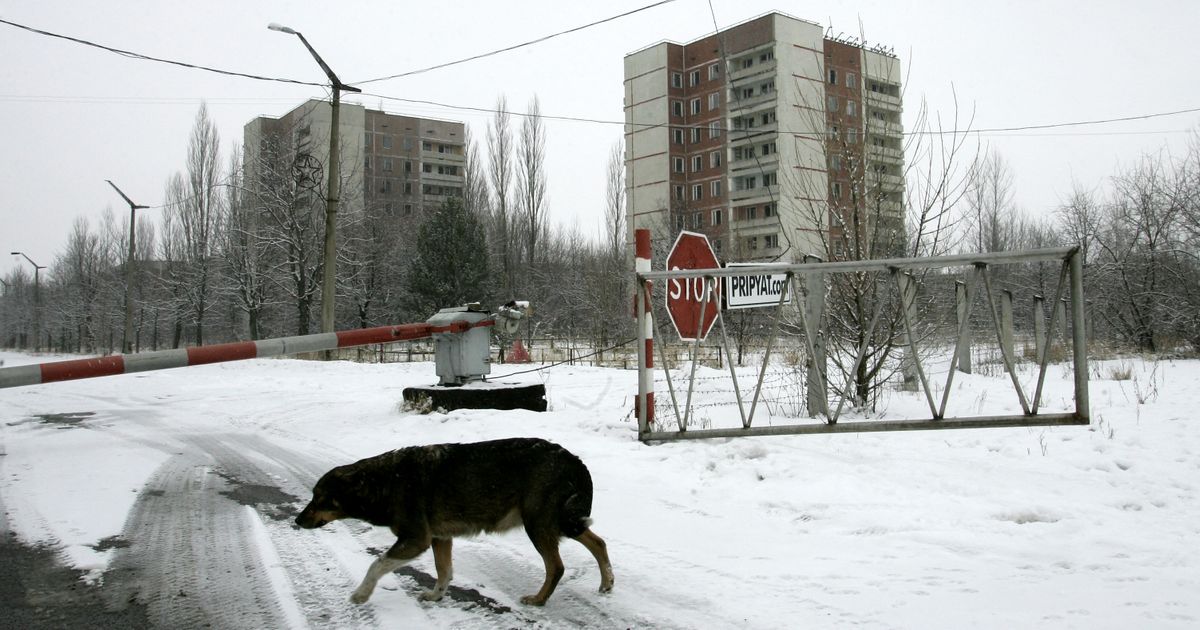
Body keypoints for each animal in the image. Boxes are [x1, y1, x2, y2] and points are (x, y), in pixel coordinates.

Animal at [296, 436, 614, 604]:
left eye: (318, 497)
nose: (297, 521)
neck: (384, 483)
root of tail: (574, 459)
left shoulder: (416, 539)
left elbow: (376, 564)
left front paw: (361, 594)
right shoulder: (439, 538)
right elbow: (444, 572)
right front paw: (436, 597)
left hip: (539, 525)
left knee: (557, 567)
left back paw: (539, 600)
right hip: (563, 522)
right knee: (599, 543)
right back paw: (607, 583)